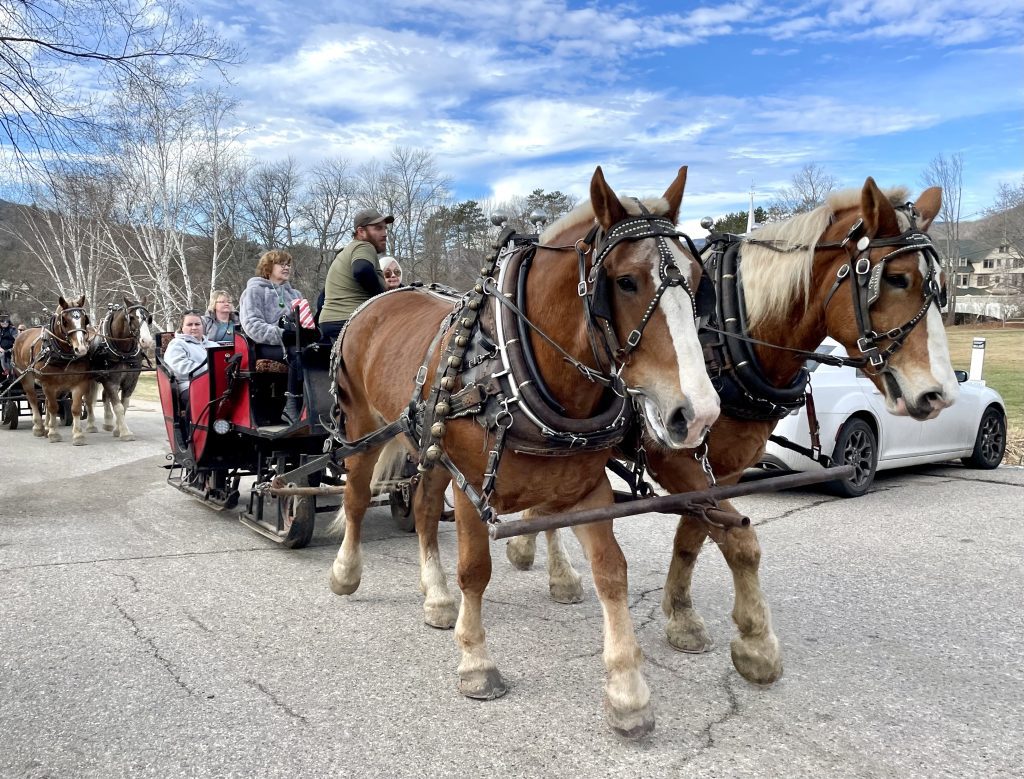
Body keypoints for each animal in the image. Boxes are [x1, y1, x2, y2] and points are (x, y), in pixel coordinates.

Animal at [12, 295, 94, 444]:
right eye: (65, 321)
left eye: (85, 320)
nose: (81, 349)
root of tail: (22, 334)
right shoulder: (48, 384)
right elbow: (53, 407)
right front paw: (54, 433)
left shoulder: (79, 383)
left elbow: (75, 408)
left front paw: (78, 435)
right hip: (26, 377)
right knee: (33, 399)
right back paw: (39, 427)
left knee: (46, 401)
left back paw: (47, 426)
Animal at [84, 298, 154, 441]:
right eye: (132, 317)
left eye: (148, 318)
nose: (147, 341)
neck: (123, 352)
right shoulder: (111, 381)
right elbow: (118, 406)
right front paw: (125, 433)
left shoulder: (131, 382)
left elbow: (124, 405)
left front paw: (118, 429)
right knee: (89, 401)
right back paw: (91, 425)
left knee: (104, 396)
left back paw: (108, 422)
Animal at [328, 165, 720, 737]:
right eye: (626, 281)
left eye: (696, 278)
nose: (698, 413)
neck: (516, 367)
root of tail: (377, 302)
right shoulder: (473, 489)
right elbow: (476, 570)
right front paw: (476, 662)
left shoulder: (586, 488)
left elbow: (612, 571)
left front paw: (627, 690)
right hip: (363, 427)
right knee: (356, 497)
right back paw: (346, 572)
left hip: (430, 446)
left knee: (422, 511)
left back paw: (436, 596)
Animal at [505, 177, 957, 686]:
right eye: (897, 278)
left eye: (941, 287)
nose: (940, 393)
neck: (727, 335)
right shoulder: (675, 456)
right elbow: (738, 541)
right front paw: (755, 642)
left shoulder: (724, 468)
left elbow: (694, 536)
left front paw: (682, 616)